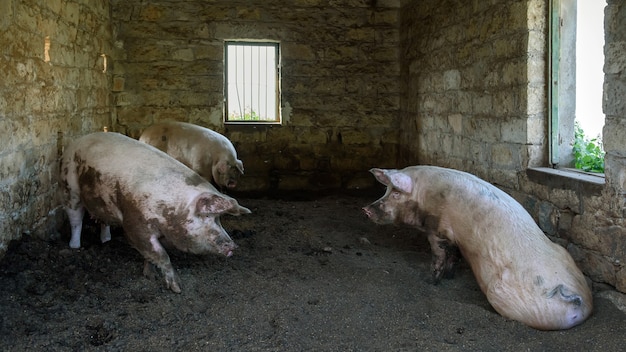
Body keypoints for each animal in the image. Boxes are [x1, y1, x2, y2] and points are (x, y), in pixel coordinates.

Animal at [59, 131, 250, 292]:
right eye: (206, 216)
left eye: (218, 219)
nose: (232, 246)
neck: (172, 207)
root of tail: (76, 142)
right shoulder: (135, 225)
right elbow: (161, 255)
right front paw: (177, 288)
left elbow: (151, 256)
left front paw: (149, 275)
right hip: (69, 187)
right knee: (76, 219)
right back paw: (75, 246)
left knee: (102, 221)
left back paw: (106, 240)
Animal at [360, 165, 588, 330]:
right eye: (386, 190)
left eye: (396, 194)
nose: (366, 209)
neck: (426, 195)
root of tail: (578, 300)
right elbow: (454, 257)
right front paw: (450, 277)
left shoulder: (437, 230)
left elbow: (439, 255)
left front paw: (430, 281)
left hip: (501, 295)